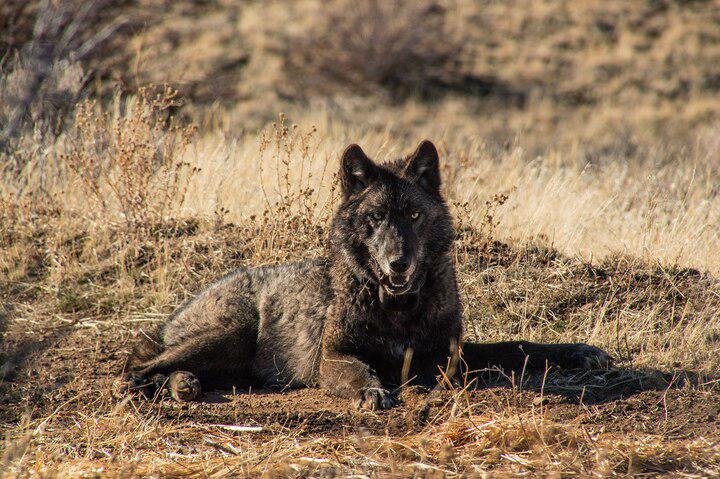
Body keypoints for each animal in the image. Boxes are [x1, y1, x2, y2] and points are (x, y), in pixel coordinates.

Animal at [118, 140, 612, 410]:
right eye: (375, 218)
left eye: (413, 215)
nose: (398, 264)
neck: (397, 308)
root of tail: (177, 312)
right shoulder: (333, 358)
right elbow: (359, 371)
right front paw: (373, 392)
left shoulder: (450, 353)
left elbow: (520, 347)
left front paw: (578, 352)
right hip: (231, 334)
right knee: (135, 366)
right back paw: (157, 387)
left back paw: (183, 385)